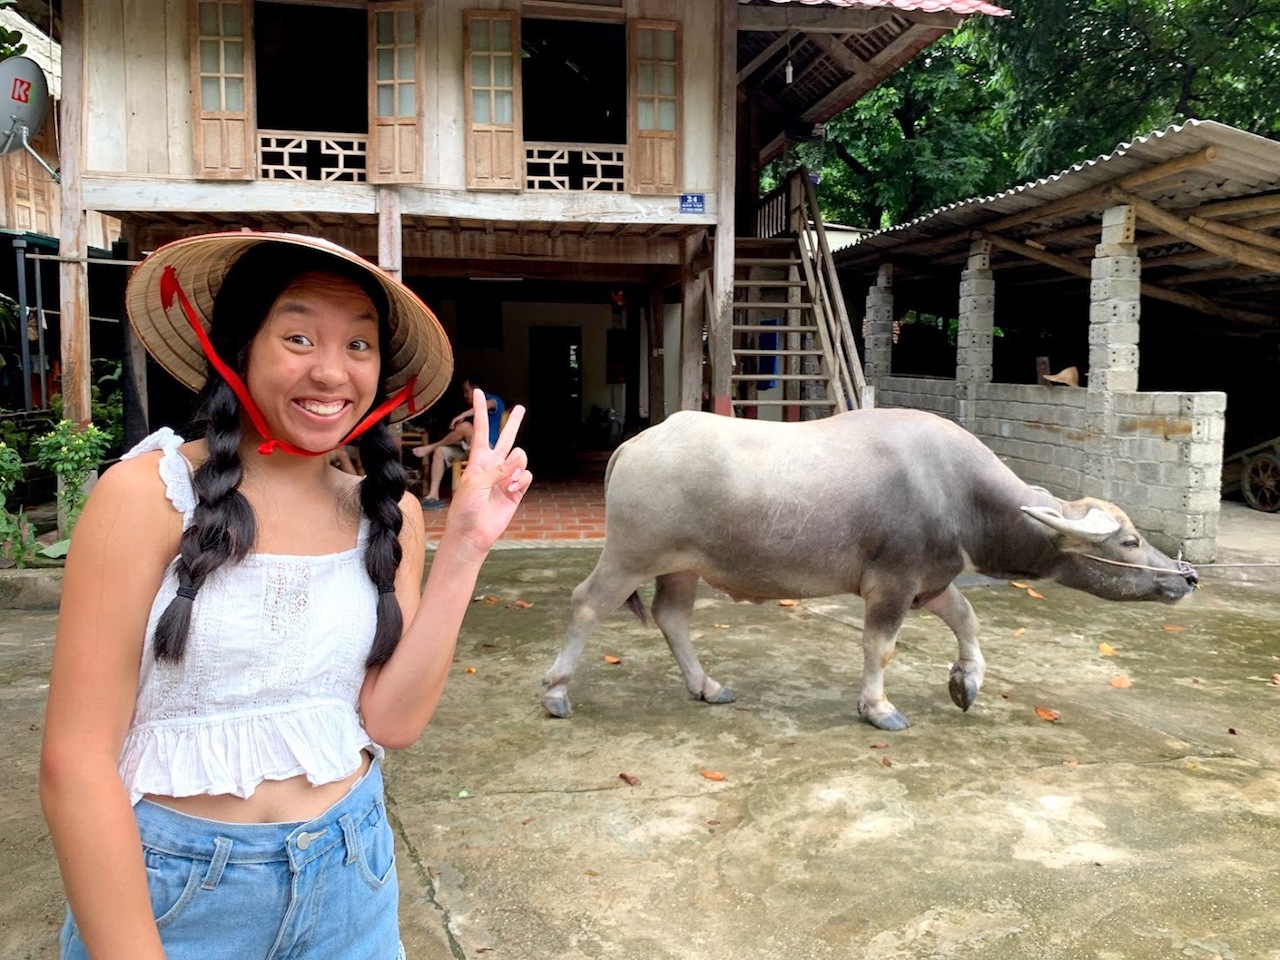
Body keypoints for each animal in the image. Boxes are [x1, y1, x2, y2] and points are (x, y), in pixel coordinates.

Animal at [540, 409, 1198, 732]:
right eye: (1130, 540)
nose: (1185, 577)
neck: (958, 492)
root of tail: (635, 444)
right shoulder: (892, 584)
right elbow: (880, 647)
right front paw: (879, 709)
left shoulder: (932, 581)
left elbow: (968, 618)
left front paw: (966, 682)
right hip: (631, 555)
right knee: (585, 604)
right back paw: (556, 692)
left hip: (683, 566)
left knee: (672, 616)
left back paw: (708, 686)